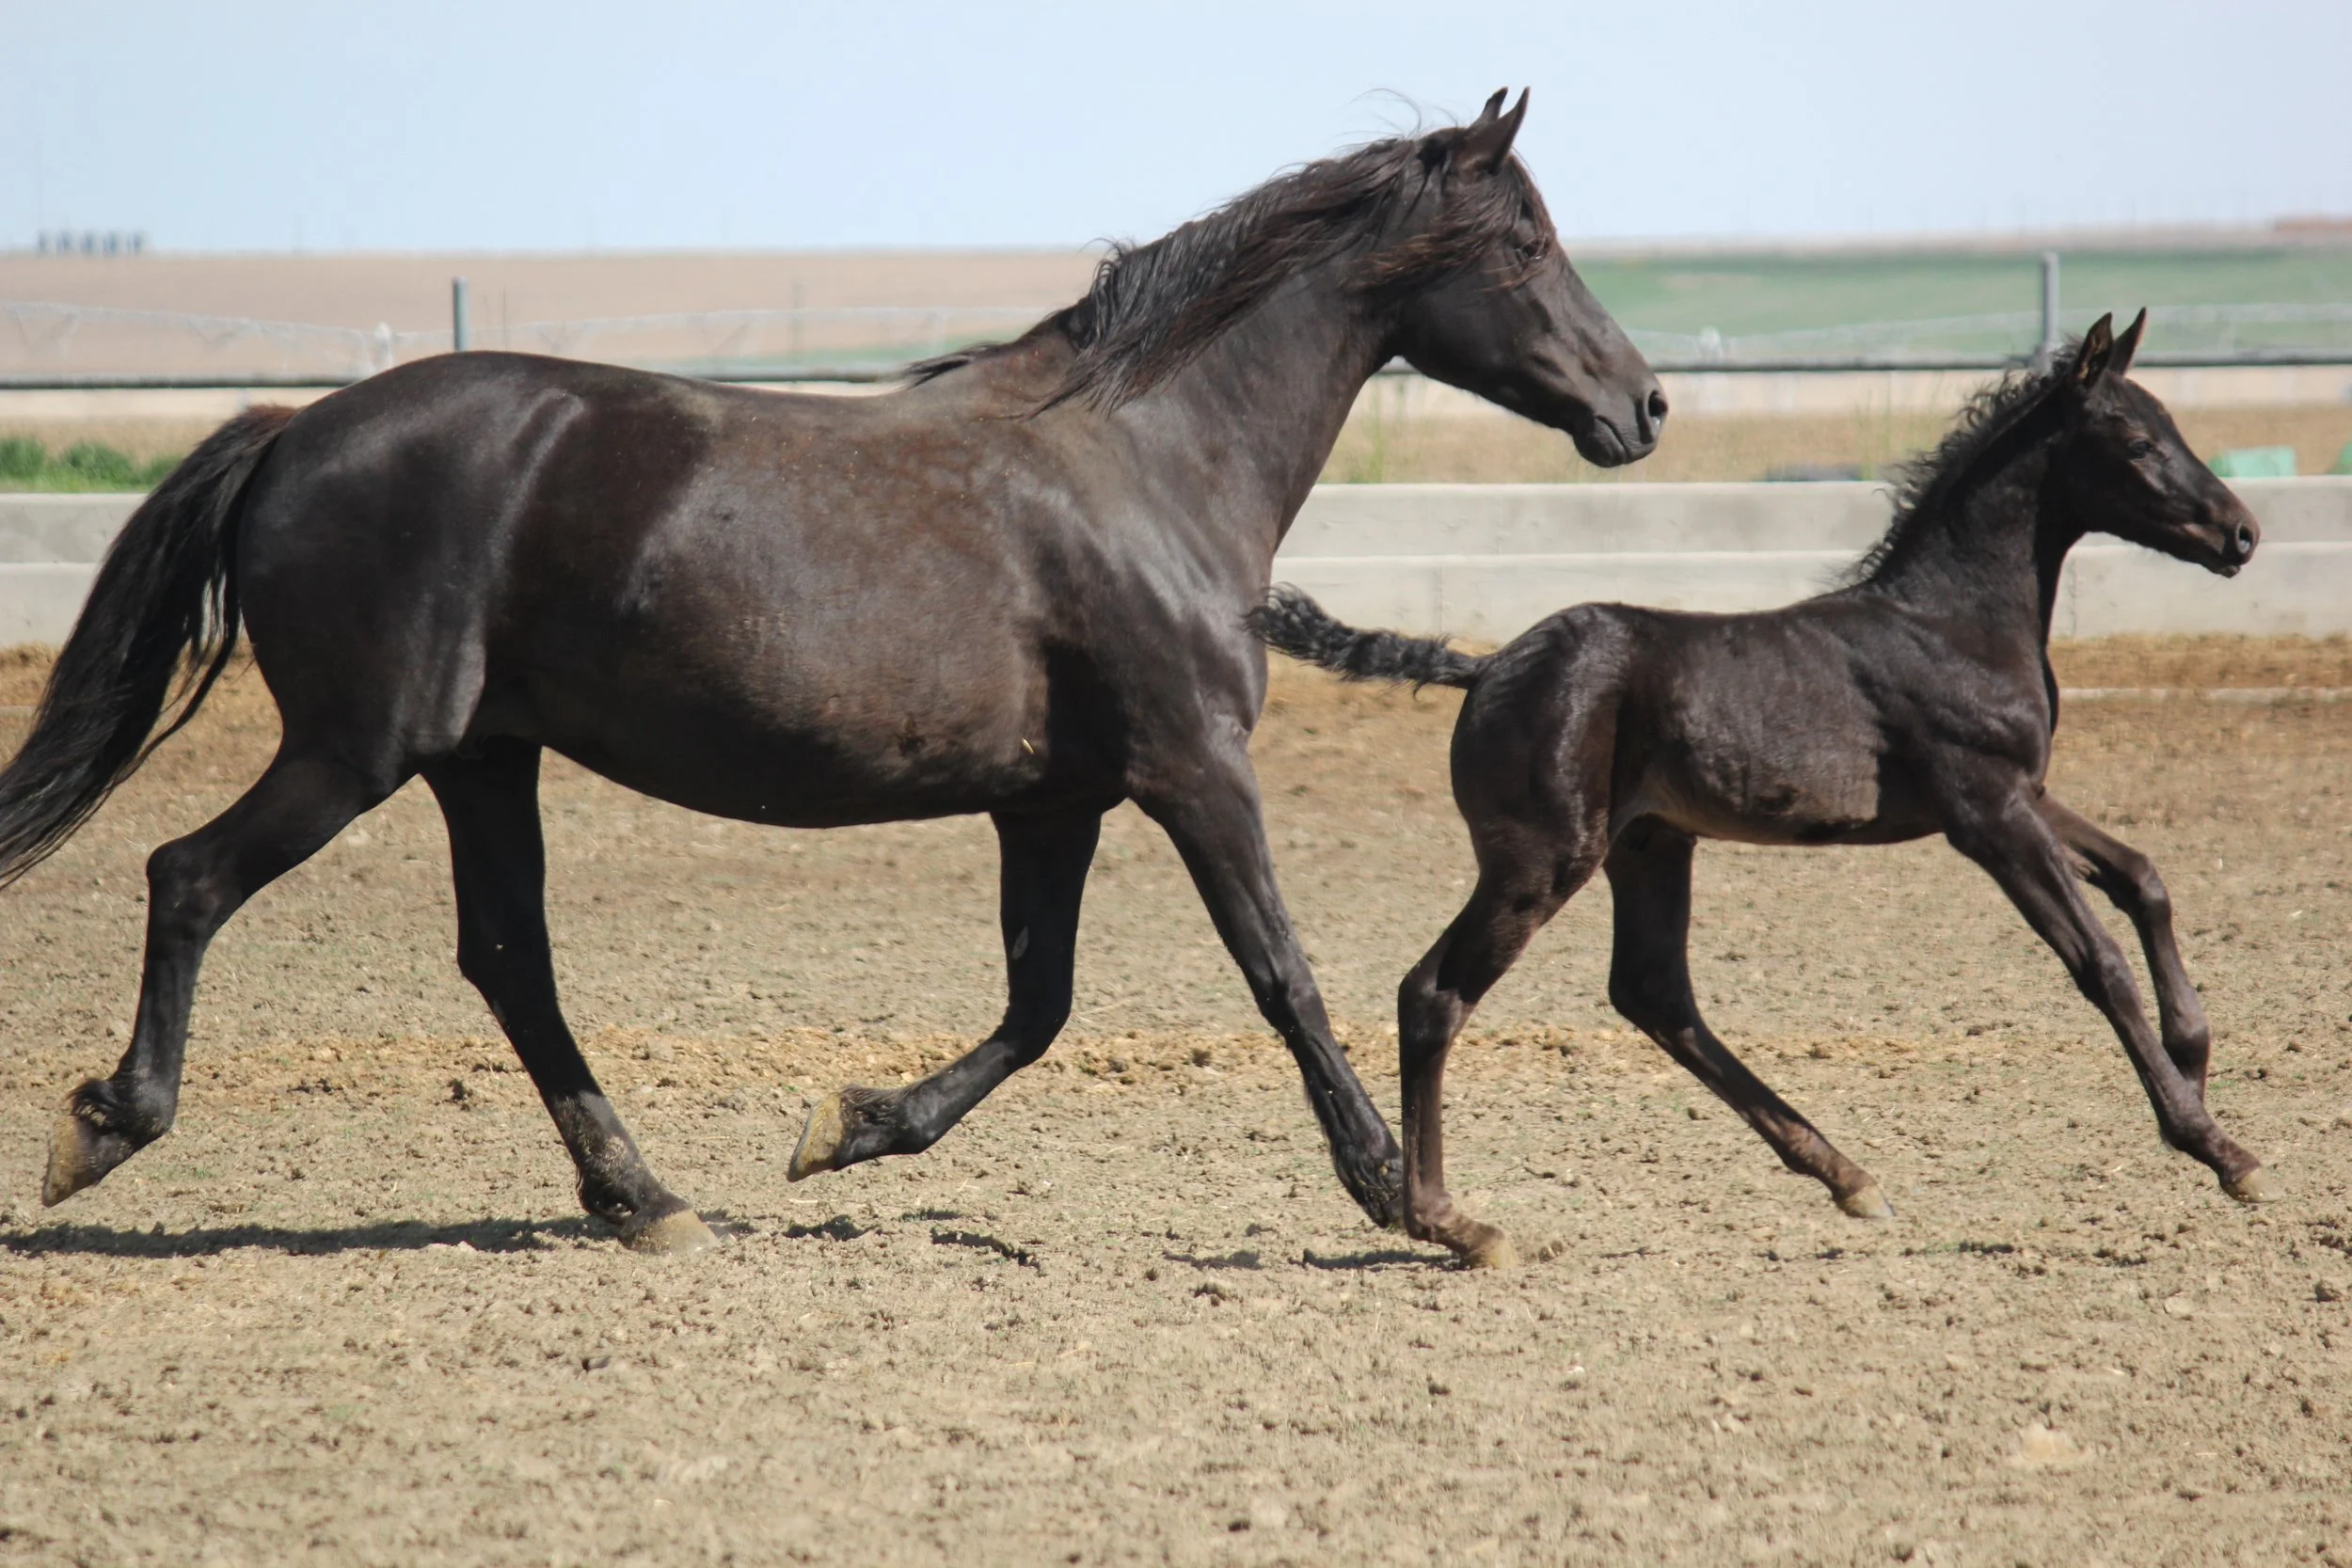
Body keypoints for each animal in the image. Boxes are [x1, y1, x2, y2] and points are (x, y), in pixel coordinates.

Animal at [0, 91, 1665, 1252]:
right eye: (1526, 245)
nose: (1641, 405)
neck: (1150, 460)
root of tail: (295, 428)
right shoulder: (1194, 766)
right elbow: (1281, 973)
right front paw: (1416, 1202)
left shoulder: (1053, 803)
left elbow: (1040, 1003)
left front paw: (846, 1125)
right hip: (357, 747)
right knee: (188, 875)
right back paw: (105, 1125)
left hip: (481, 758)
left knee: (508, 957)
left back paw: (646, 1195)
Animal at [1252, 311, 2267, 1267]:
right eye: (2134, 440)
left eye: (2171, 424)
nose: (2242, 533)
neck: (1950, 621)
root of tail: (1486, 665)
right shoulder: (1987, 813)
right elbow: (2097, 960)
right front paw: (2217, 1146)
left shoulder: (2025, 791)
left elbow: (2142, 876)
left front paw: (2194, 1054)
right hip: (1543, 858)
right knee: (1436, 993)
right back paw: (1452, 1223)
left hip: (1649, 843)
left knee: (1654, 991)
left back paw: (1846, 1174)